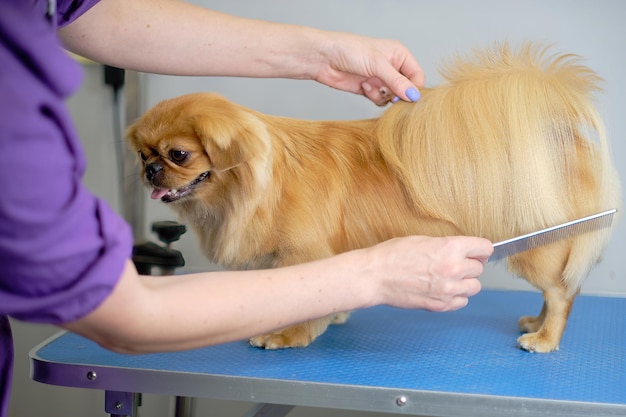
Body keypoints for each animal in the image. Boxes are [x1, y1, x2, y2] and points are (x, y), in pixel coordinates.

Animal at [127, 43, 620, 352]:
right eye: (142, 153)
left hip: (537, 249)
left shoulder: (303, 257)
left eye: (178, 154)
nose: (150, 169)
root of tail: (557, 138)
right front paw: (335, 316)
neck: (258, 184)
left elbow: (303, 310)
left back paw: (544, 339)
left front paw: (286, 337)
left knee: (561, 292)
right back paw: (535, 324)